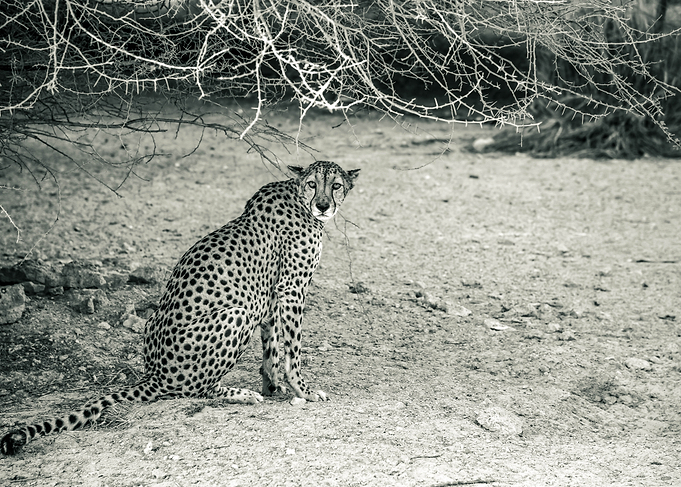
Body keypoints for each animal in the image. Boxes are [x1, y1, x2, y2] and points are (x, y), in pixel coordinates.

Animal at [1, 160, 359, 455]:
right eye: (312, 184)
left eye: (335, 185)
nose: (323, 205)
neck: (299, 199)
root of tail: (156, 374)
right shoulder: (291, 290)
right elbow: (293, 350)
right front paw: (303, 390)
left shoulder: (272, 297)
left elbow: (272, 348)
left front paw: (274, 387)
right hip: (236, 313)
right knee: (194, 390)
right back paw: (238, 394)